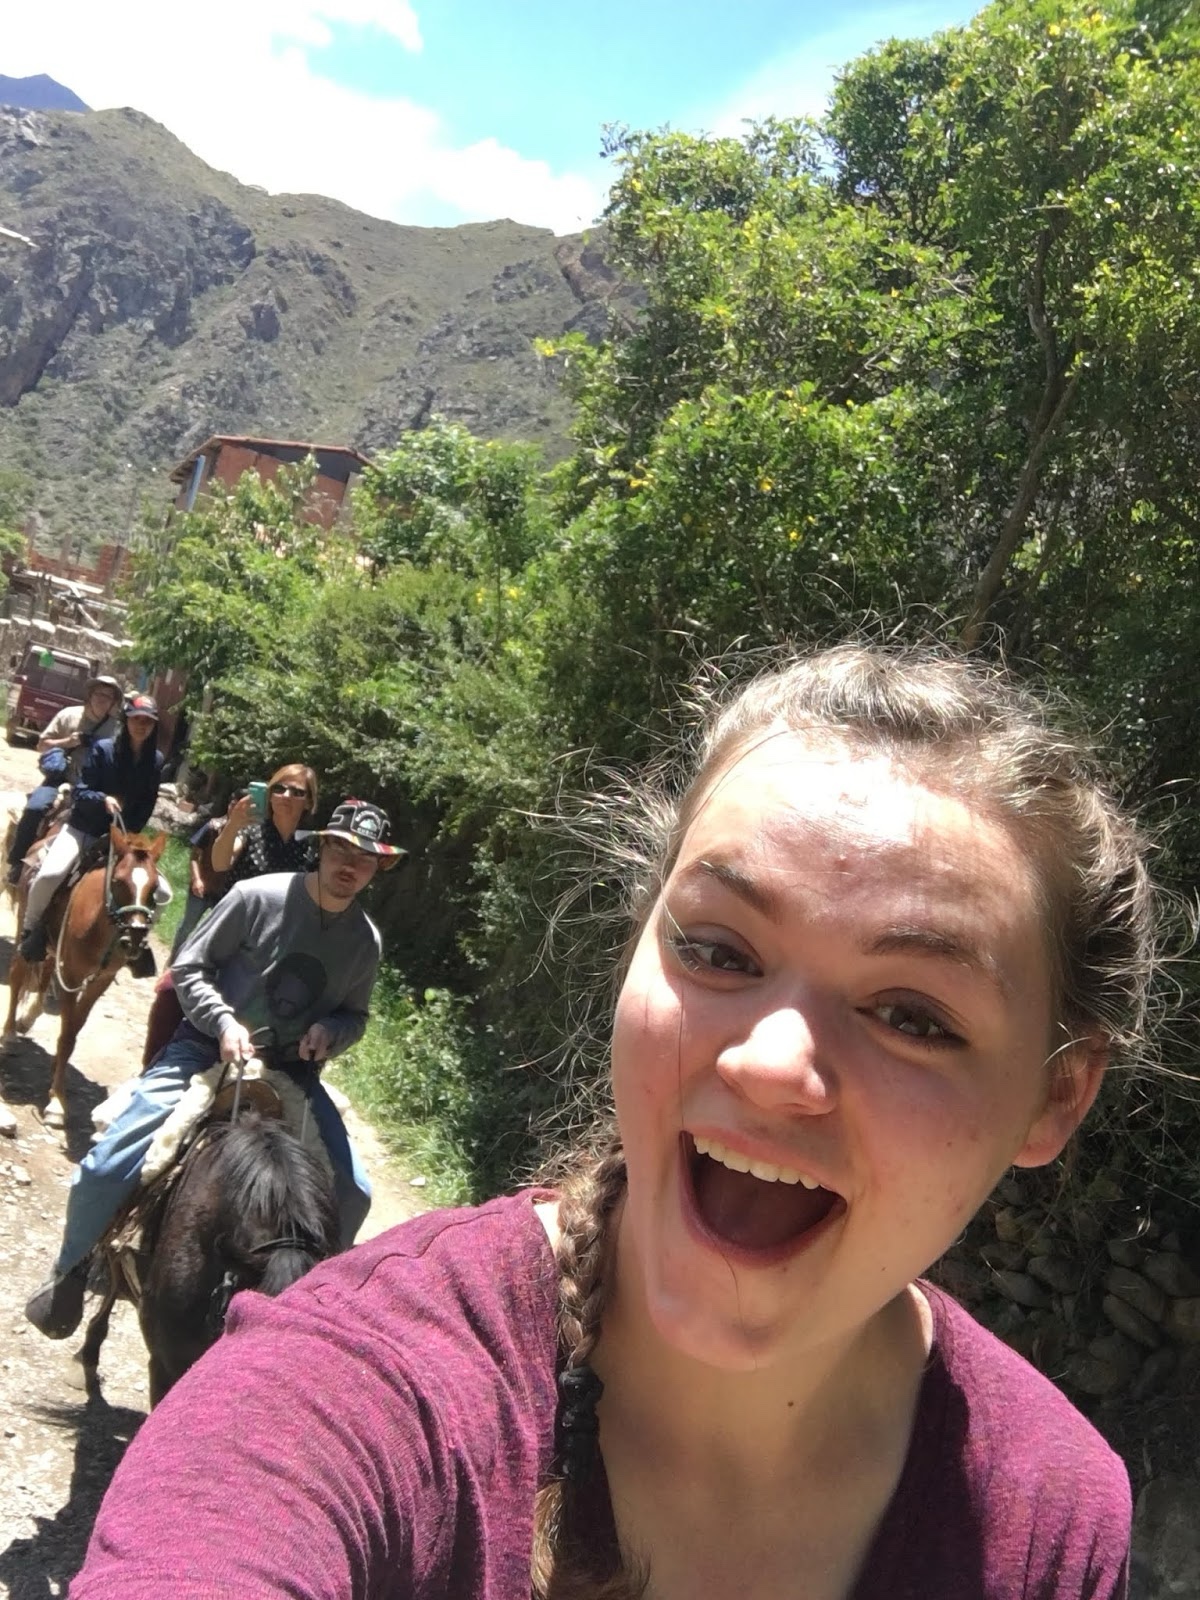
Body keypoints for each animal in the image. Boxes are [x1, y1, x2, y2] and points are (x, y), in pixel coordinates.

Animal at [3, 824, 166, 1128]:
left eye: (153, 889)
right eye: (119, 882)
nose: (135, 938)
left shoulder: (100, 981)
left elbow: (74, 1028)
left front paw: (56, 1072)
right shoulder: (72, 974)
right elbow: (68, 1035)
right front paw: (57, 1102)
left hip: (51, 948)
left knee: (42, 975)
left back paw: (26, 1021)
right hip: (24, 928)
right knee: (18, 975)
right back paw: (8, 1035)